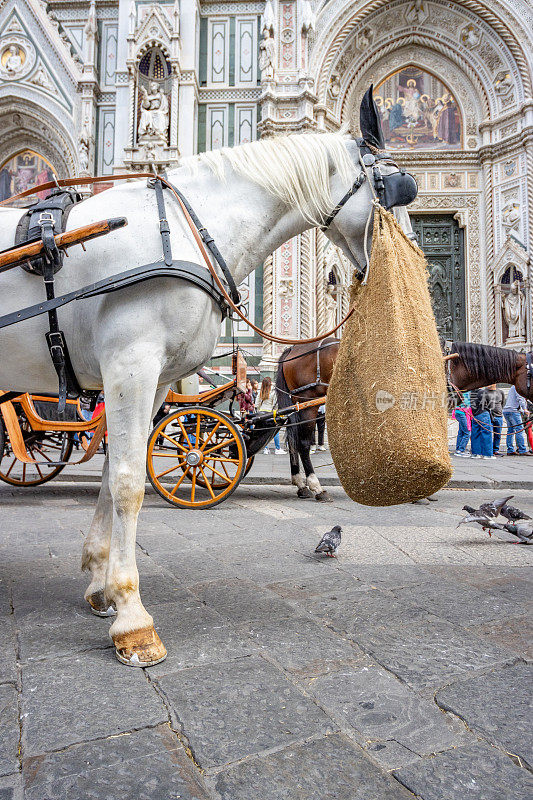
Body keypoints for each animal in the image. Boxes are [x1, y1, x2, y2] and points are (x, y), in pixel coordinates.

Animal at [276, 338, 338, 500]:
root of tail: (291, 349)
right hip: (307, 402)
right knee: (303, 443)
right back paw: (316, 486)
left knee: (294, 439)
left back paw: (300, 484)